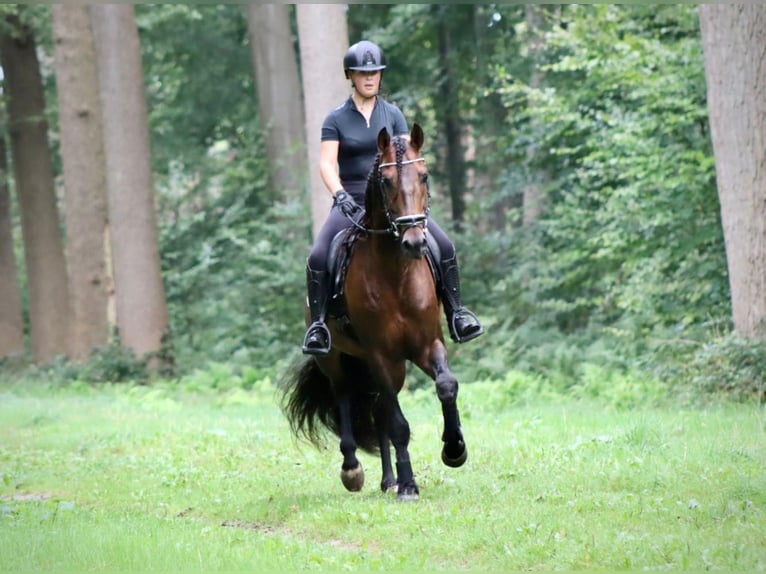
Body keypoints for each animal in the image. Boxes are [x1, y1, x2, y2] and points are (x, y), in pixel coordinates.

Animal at [280, 123, 467, 502]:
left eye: (424, 175)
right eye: (387, 181)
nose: (414, 242)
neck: (396, 273)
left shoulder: (427, 344)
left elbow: (446, 385)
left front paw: (454, 449)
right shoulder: (382, 354)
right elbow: (398, 423)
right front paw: (409, 485)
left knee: (378, 410)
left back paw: (388, 479)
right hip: (338, 360)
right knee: (346, 400)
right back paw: (354, 471)